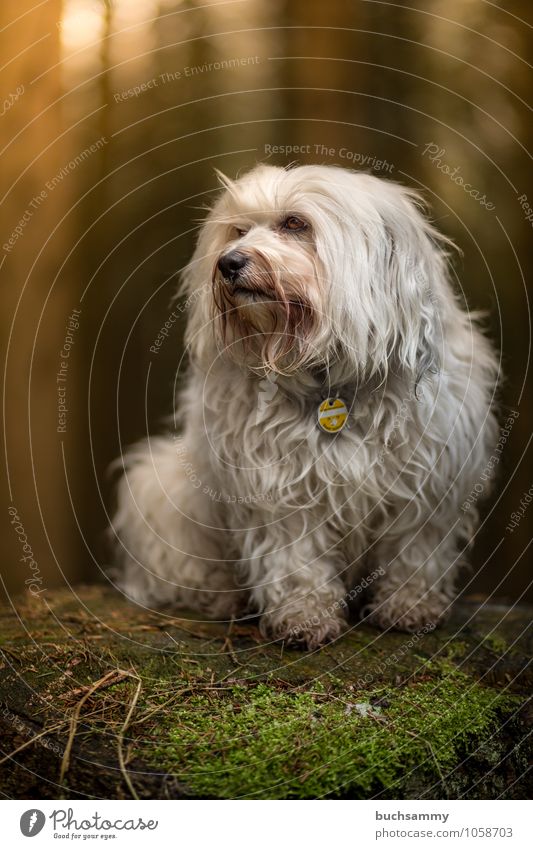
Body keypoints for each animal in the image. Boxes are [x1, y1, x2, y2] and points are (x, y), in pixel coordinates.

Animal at [112, 161, 498, 648]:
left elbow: (416, 550)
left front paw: (410, 605)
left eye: (295, 223)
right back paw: (221, 597)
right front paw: (305, 616)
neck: (330, 380)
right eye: (238, 230)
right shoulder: (278, 487)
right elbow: (294, 558)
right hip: (159, 490)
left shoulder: (430, 482)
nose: (228, 262)